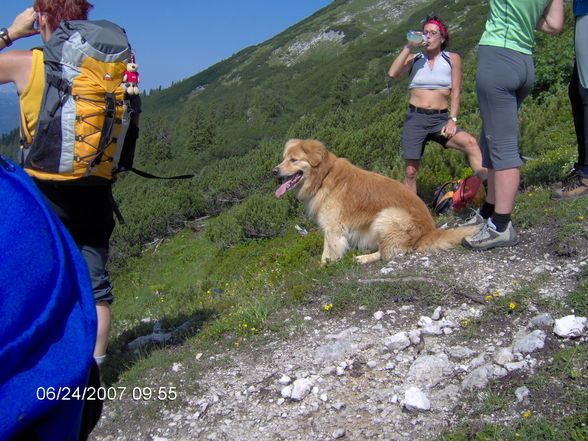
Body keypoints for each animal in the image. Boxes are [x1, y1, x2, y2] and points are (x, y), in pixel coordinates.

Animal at [274, 138, 480, 262]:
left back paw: (365, 258)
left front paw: (324, 267)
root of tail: (428, 232)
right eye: (283, 158)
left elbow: (328, 251)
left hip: (388, 215)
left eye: (293, 160)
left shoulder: (333, 227)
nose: (274, 171)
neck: (324, 176)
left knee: (388, 251)